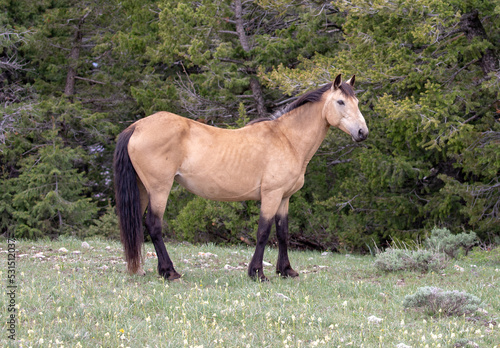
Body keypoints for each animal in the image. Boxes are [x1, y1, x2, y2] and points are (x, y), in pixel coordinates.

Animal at [115, 75, 370, 282]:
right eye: (340, 102)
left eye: (357, 102)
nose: (362, 133)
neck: (287, 139)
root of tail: (137, 126)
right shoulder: (271, 195)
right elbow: (263, 232)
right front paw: (257, 273)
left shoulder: (284, 198)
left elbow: (283, 233)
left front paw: (286, 270)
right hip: (159, 188)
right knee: (153, 224)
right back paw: (169, 272)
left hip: (143, 189)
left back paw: (140, 270)